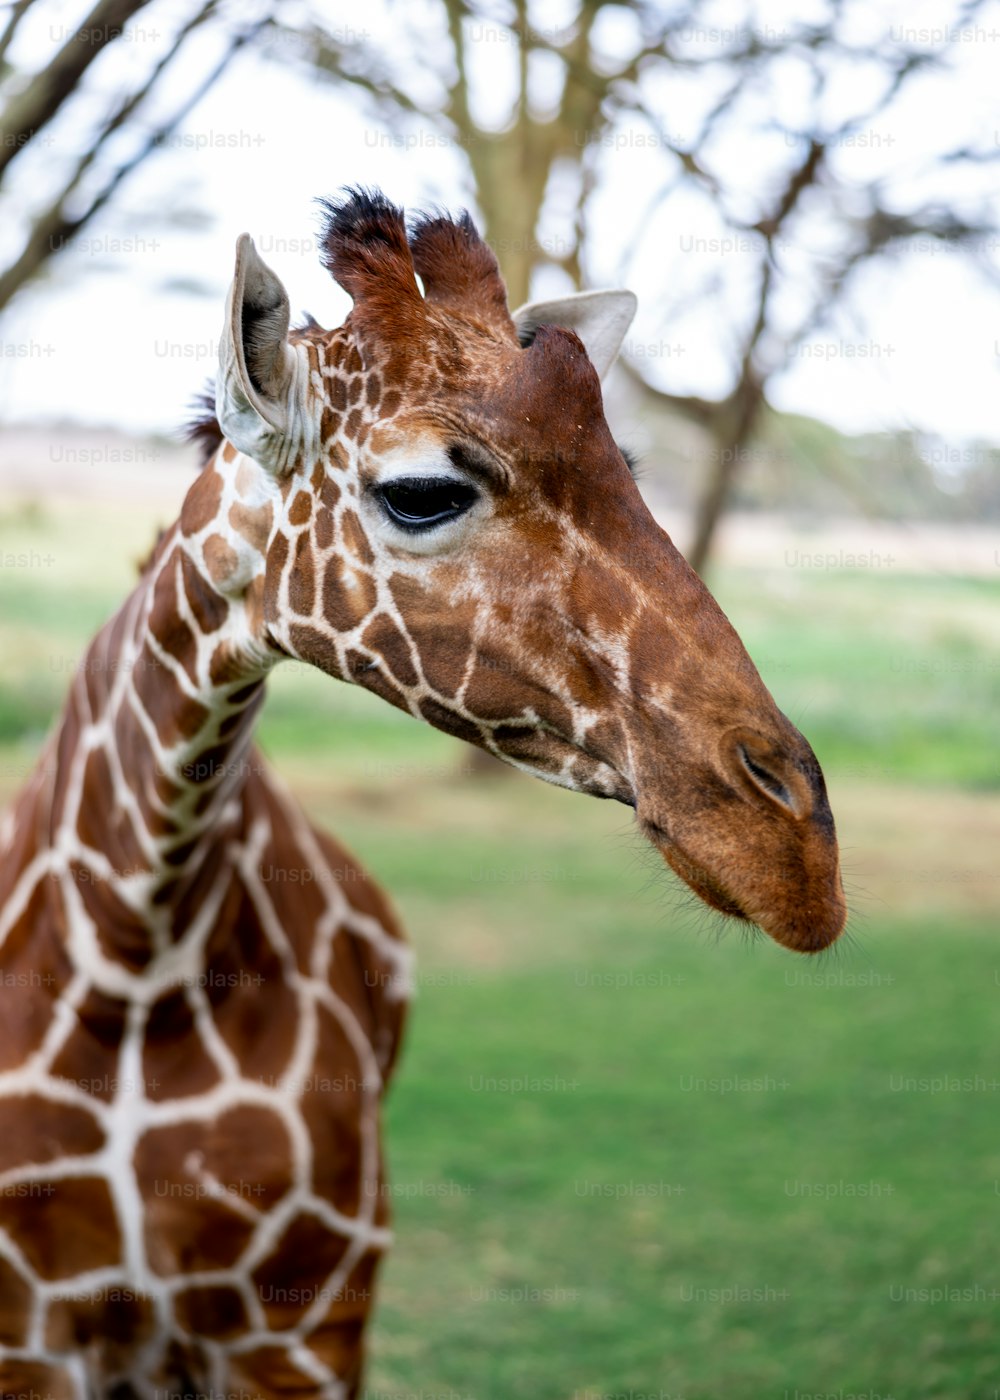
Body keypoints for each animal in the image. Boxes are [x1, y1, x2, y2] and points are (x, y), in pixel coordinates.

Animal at [0, 186, 845, 1388]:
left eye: (627, 470)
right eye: (423, 492)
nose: (798, 857)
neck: (129, 954)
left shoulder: (306, 1320)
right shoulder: (29, 1330)